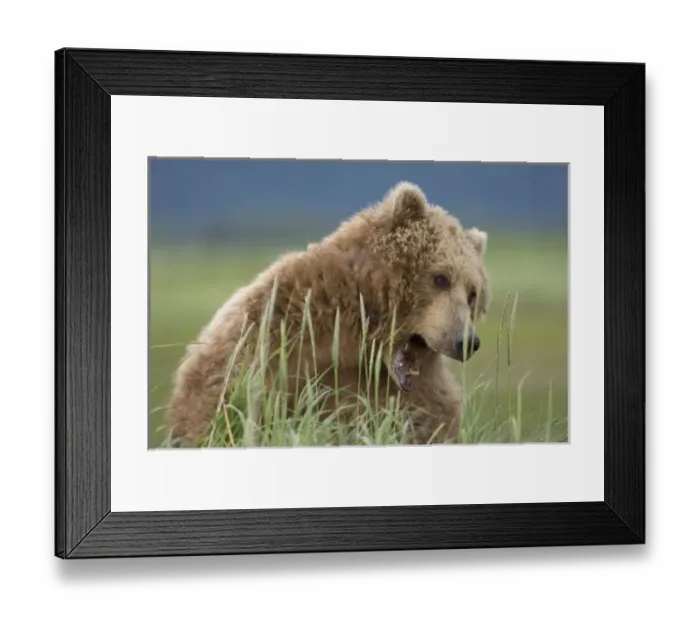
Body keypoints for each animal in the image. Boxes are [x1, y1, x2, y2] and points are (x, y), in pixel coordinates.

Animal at [166, 181, 491, 447]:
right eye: (441, 278)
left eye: (473, 293)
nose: (466, 341)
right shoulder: (275, 340)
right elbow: (227, 406)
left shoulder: (411, 392)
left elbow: (433, 421)